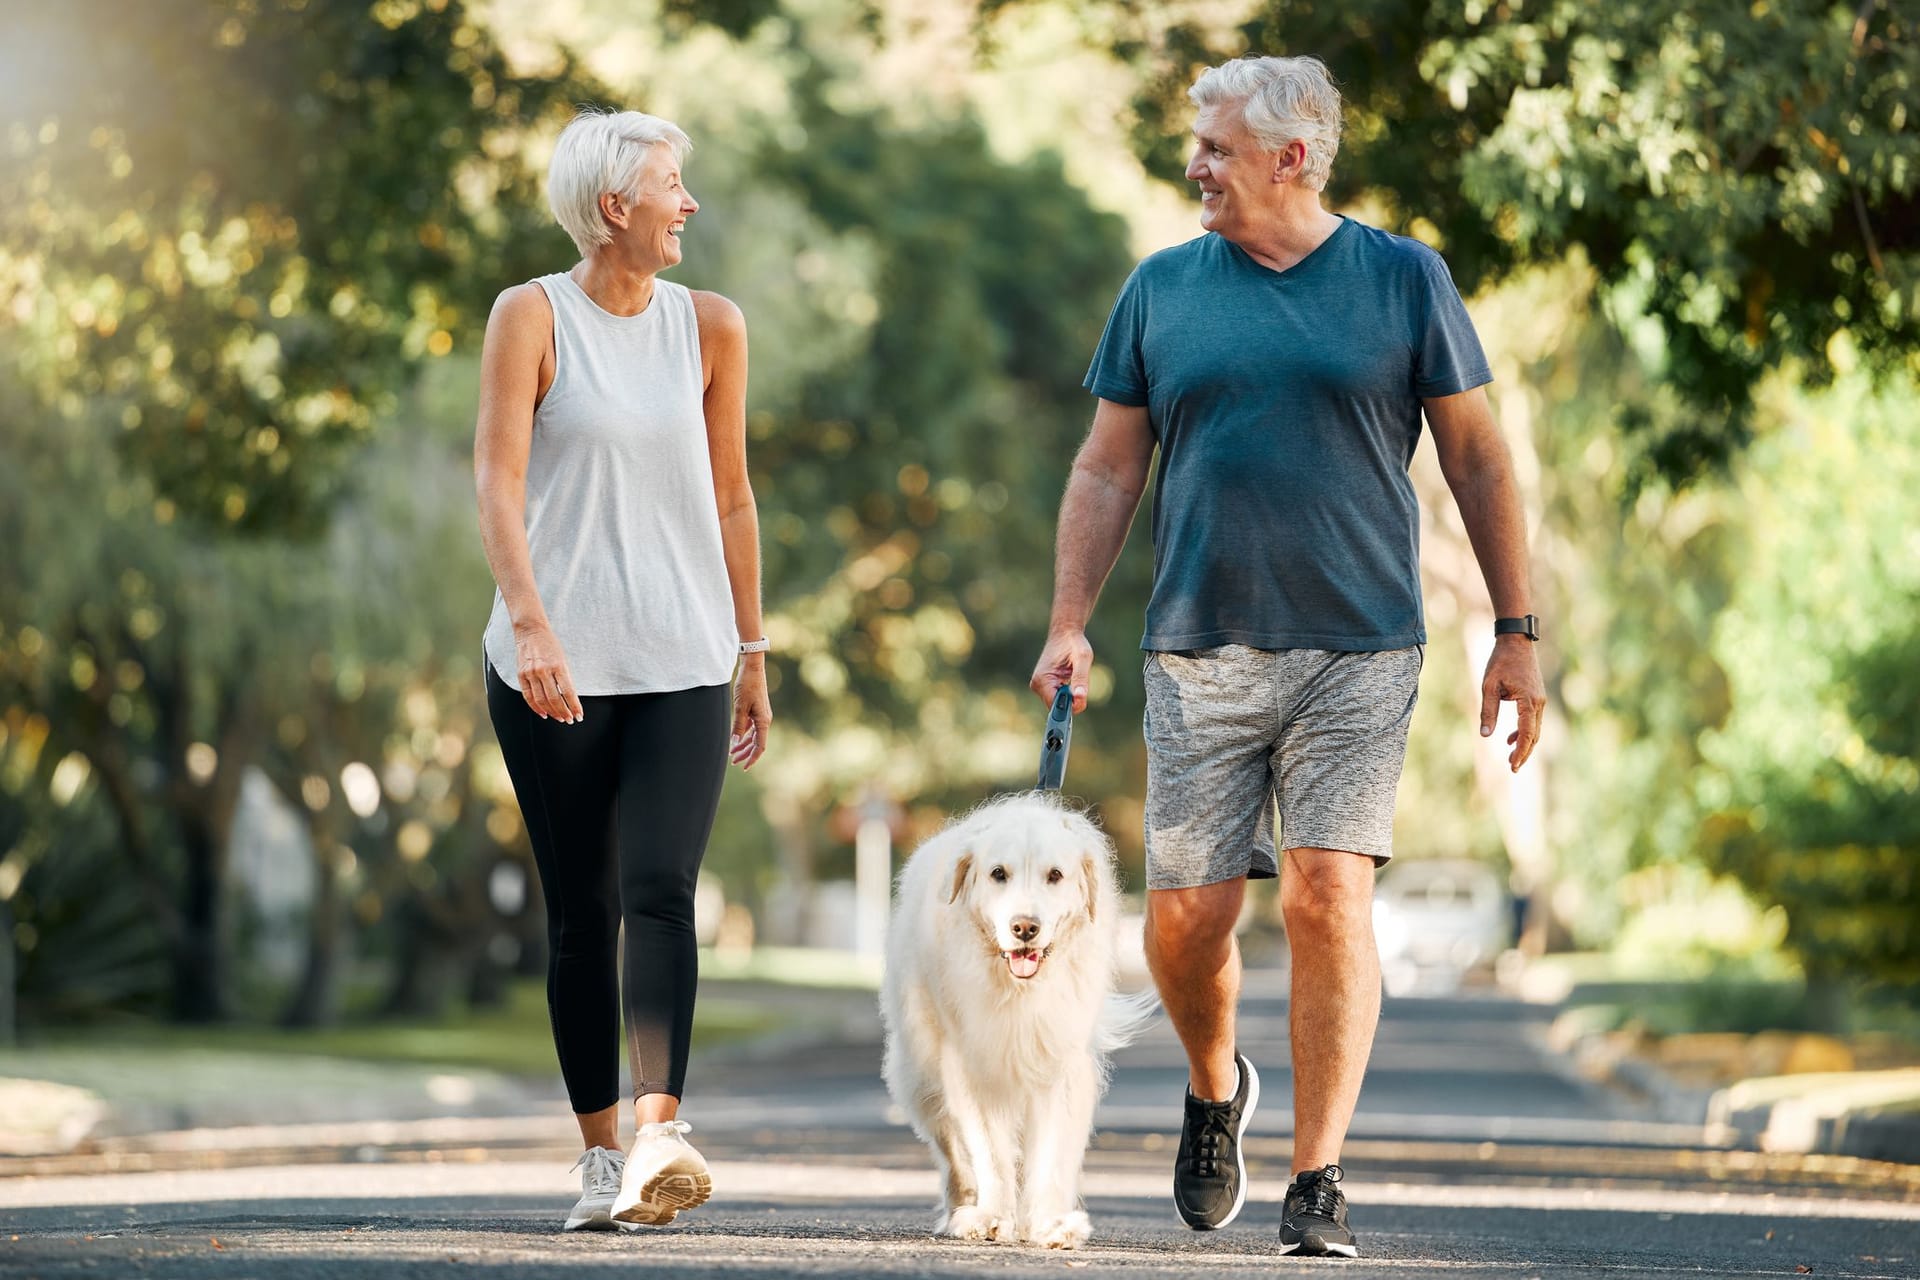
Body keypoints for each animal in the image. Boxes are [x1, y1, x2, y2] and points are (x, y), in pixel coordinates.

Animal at [879, 790, 1144, 1251]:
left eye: (1055, 875)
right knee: (954, 1151)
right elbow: (988, 1152)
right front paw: (991, 1218)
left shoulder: (1061, 1066)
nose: (1024, 927)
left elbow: (1052, 1153)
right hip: (921, 1076)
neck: (1019, 991)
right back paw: (962, 1207)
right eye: (998, 874)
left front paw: (1052, 1223)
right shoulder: (971, 1067)